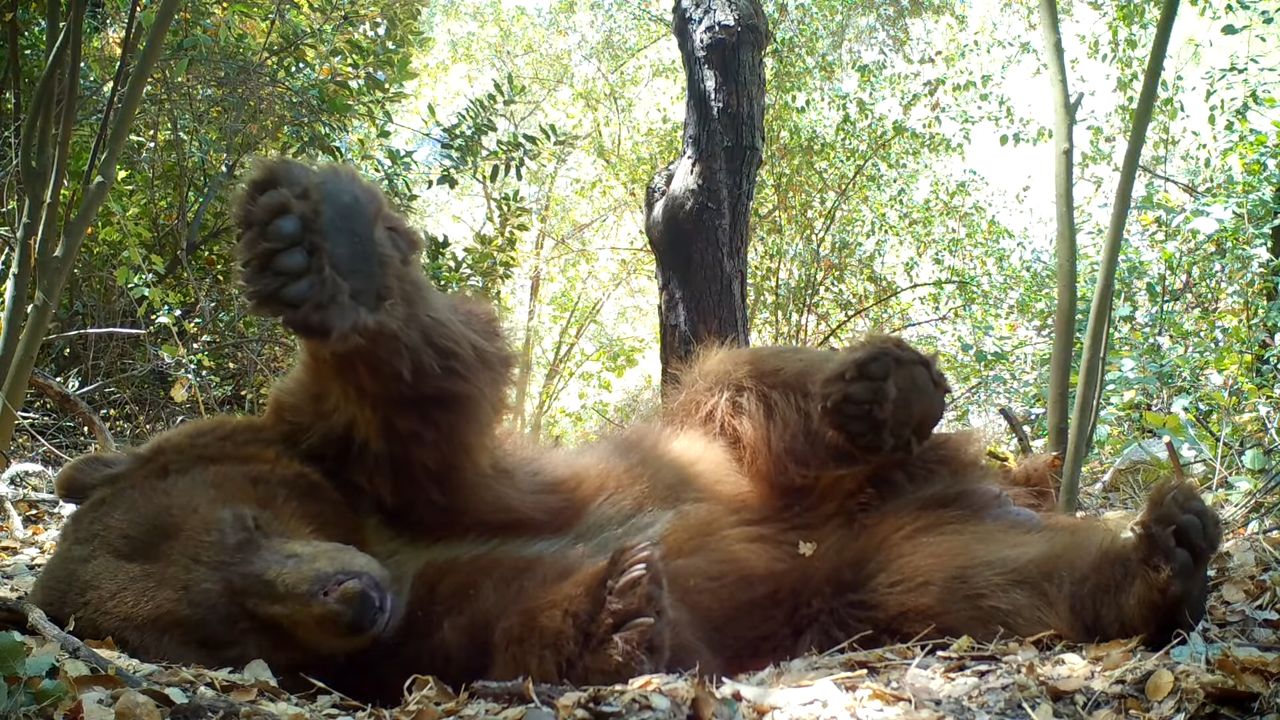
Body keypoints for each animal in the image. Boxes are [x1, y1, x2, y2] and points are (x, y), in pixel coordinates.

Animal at [30, 156, 1218, 702]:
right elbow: (519, 622)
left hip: (740, 446)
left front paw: (328, 252)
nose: (350, 598)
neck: (383, 543)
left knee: (750, 387)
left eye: (238, 525)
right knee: (978, 575)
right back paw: (1157, 560)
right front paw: (616, 613)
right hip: (883, 564)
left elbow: (423, 390)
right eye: (230, 635)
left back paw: (880, 393)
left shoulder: (415, 475)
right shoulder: (430, 620)